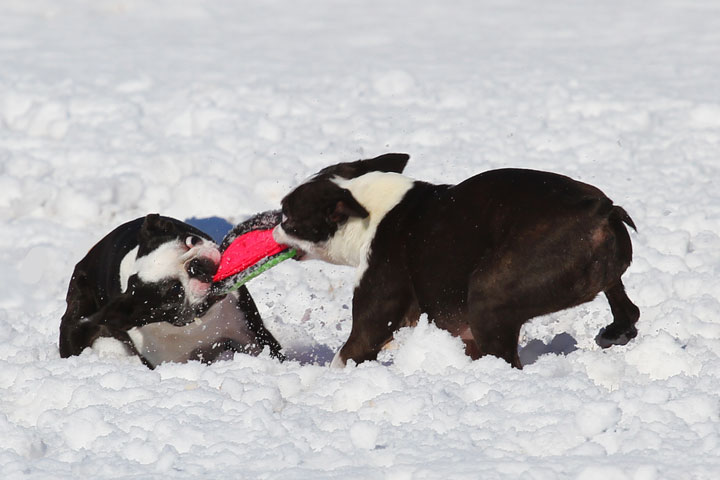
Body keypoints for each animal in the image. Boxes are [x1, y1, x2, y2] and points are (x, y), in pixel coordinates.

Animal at [59, 214, 284, 368]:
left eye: (192, 241)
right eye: (175, 289)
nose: (196, 266)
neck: (196, 324)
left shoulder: (248, 333)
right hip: (74, 323)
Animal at [274, 154, 640, 368]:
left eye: (287, 214)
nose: (272, 226)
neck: (368, 210)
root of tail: (601, 211)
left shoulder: (374, 314)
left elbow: (349, 353)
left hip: (490, 293)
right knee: (626, 305)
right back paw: (616, 332)